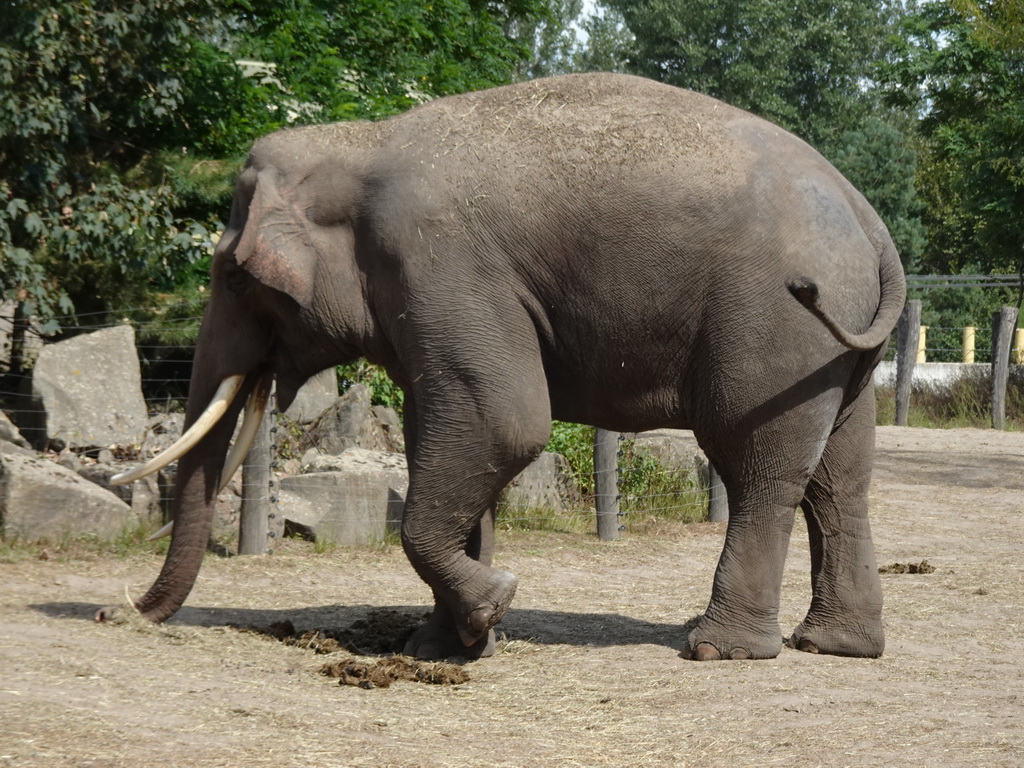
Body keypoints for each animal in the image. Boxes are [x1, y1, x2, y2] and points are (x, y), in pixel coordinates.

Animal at [101, 72, 905, 663]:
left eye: (233, 277)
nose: (118, 609)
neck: (354, 146)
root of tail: (868, 217)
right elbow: (450, 435)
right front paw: (449, 644)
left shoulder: (439, 263)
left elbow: (503, 424)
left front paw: (492, 604)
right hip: (835, 351)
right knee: (841, 477)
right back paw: (837, 646)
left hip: (775, 324)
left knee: (758, 467)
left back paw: (718, 650)